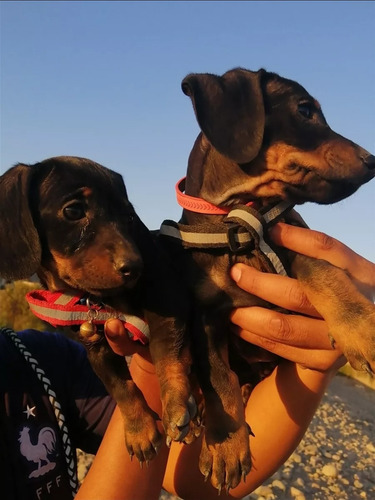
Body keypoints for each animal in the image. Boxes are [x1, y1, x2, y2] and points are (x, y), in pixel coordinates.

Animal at [0, 157, 198, 464]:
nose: (136, 268)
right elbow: (121, 386)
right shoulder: (94, 344)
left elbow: (167, 354)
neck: (100, 299)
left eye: (129, 218)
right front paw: (139, 431)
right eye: (73, 211)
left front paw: (176, 403)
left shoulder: (167, 298)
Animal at [159, 68, 375, 494]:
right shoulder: (205, 315)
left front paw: (361, 328)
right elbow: (218, 376)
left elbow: (323, 272)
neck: (239, 219)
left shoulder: (292, 238)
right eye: (305, 110)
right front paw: (225, 444)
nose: (373, 160)